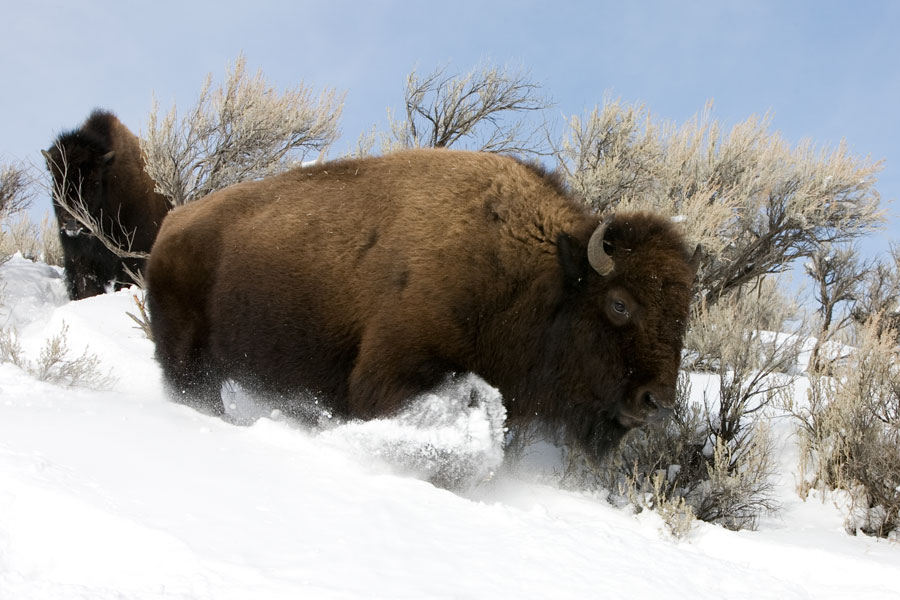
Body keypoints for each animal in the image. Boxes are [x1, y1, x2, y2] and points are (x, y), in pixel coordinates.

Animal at [147, 149, 697, 459]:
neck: (539, 275)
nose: (656, 403)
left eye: (683, 317)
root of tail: (172, 224)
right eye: (620, 304)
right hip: (187, 361)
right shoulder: (392, 374)